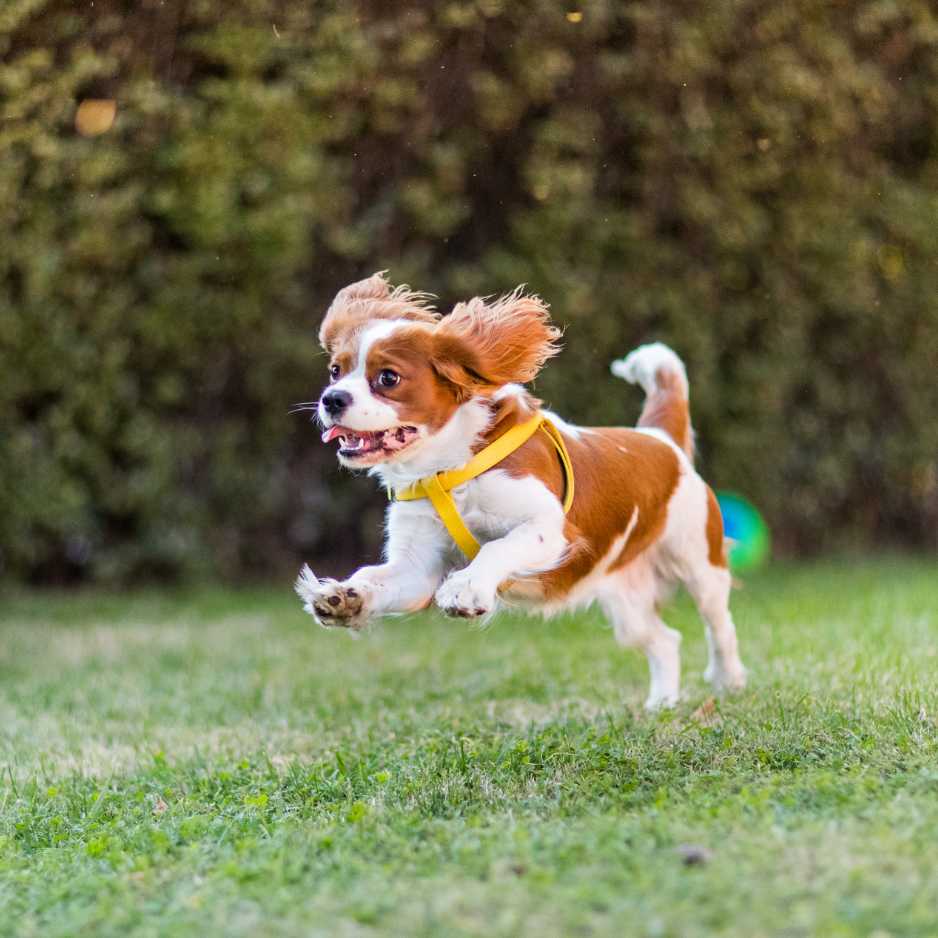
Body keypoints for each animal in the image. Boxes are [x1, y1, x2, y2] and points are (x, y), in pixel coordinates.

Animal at [296, 274, 744, 704]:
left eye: (387, 378)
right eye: (336, 370)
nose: (331, 399)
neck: (448, 466)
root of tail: (659, 438)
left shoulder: (550, 528)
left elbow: (497, 547)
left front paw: (467, 589)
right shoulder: (417, 566)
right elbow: (378, 578)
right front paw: (345, 598)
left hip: (698, 562)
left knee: (719, 624)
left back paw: (729, 680)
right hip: (626, 599)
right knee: (665, 640)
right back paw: (662, 704)